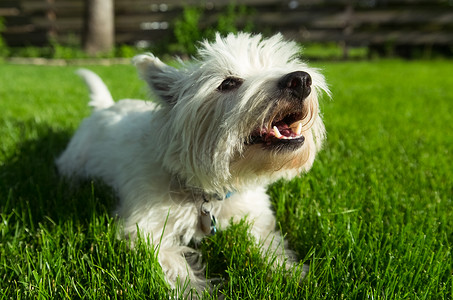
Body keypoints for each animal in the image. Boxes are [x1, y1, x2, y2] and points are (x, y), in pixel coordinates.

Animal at [56, 32, 326, 296]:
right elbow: (177, 265)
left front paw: (293, 273)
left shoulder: (255, 217)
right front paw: (196, 290)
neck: (207, 189)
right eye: (228, 83)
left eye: (280, 64)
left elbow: (270, 245)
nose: (301, 79)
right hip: (74, 161)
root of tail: (105, 106)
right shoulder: (146, 228)